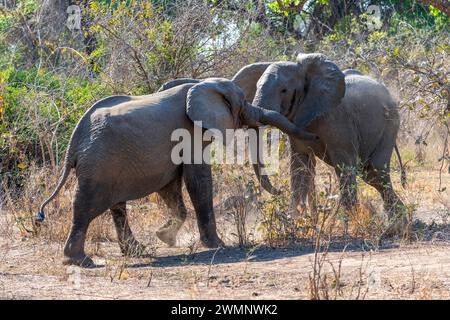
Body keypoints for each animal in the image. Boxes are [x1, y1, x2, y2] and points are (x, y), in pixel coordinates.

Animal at [37, 78, 314, 268]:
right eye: (243, 102)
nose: (280, 191)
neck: (200, 84)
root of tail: (74, 140)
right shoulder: (190, 132)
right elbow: (198, 180)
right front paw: (218, 246)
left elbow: (170, 185)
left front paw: (165, 238)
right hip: (99, 164)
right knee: (85, 206)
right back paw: (81, 261)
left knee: (117, 207)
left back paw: (138, 252)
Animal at [232, 53, 408, 235]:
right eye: (256, 87)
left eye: (284, 90)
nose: (279, 191)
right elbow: (299, 167)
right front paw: (295, 223)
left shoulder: (337, 121)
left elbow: (344, 166)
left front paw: (347, 228)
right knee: (371, 175)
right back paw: (399, 224)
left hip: (390, 123)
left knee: (376, 170)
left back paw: (396, 227)